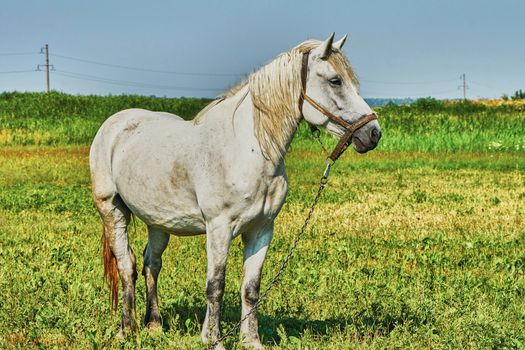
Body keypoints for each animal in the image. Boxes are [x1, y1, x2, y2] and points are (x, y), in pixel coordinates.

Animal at [89, 33, 376, 350]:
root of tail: (114, 124)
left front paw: (251, 341)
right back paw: (126, 330)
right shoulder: (219, 228)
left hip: (158, 222)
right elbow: (216, 285)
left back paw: (154, 326)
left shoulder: (261, 230)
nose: (373, 133)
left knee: (151, 263)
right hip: (112, 210)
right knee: (126, 265)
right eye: (335, 80)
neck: (247, 150)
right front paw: (213, 339)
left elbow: (251, 287)